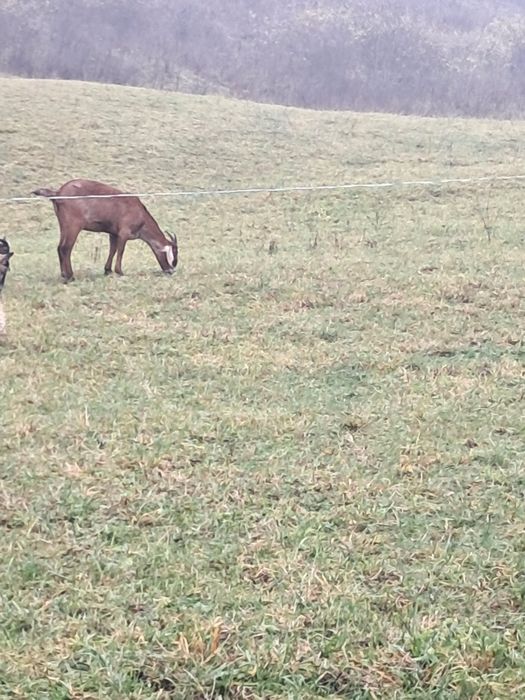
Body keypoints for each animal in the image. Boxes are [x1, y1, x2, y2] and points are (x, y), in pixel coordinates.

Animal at [32, 179, 178, 282]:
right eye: (174, 255)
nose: (171, 271)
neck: (140, 214)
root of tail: (58, 193)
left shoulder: (113, 233)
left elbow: (112, 249)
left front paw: (107, 270)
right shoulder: (124, 232)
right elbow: (120, 250)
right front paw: (119, 271)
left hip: (64, 225)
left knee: (59, 247)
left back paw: (64, 275)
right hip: (73, 225)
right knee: (66, 248)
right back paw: (70, 276)